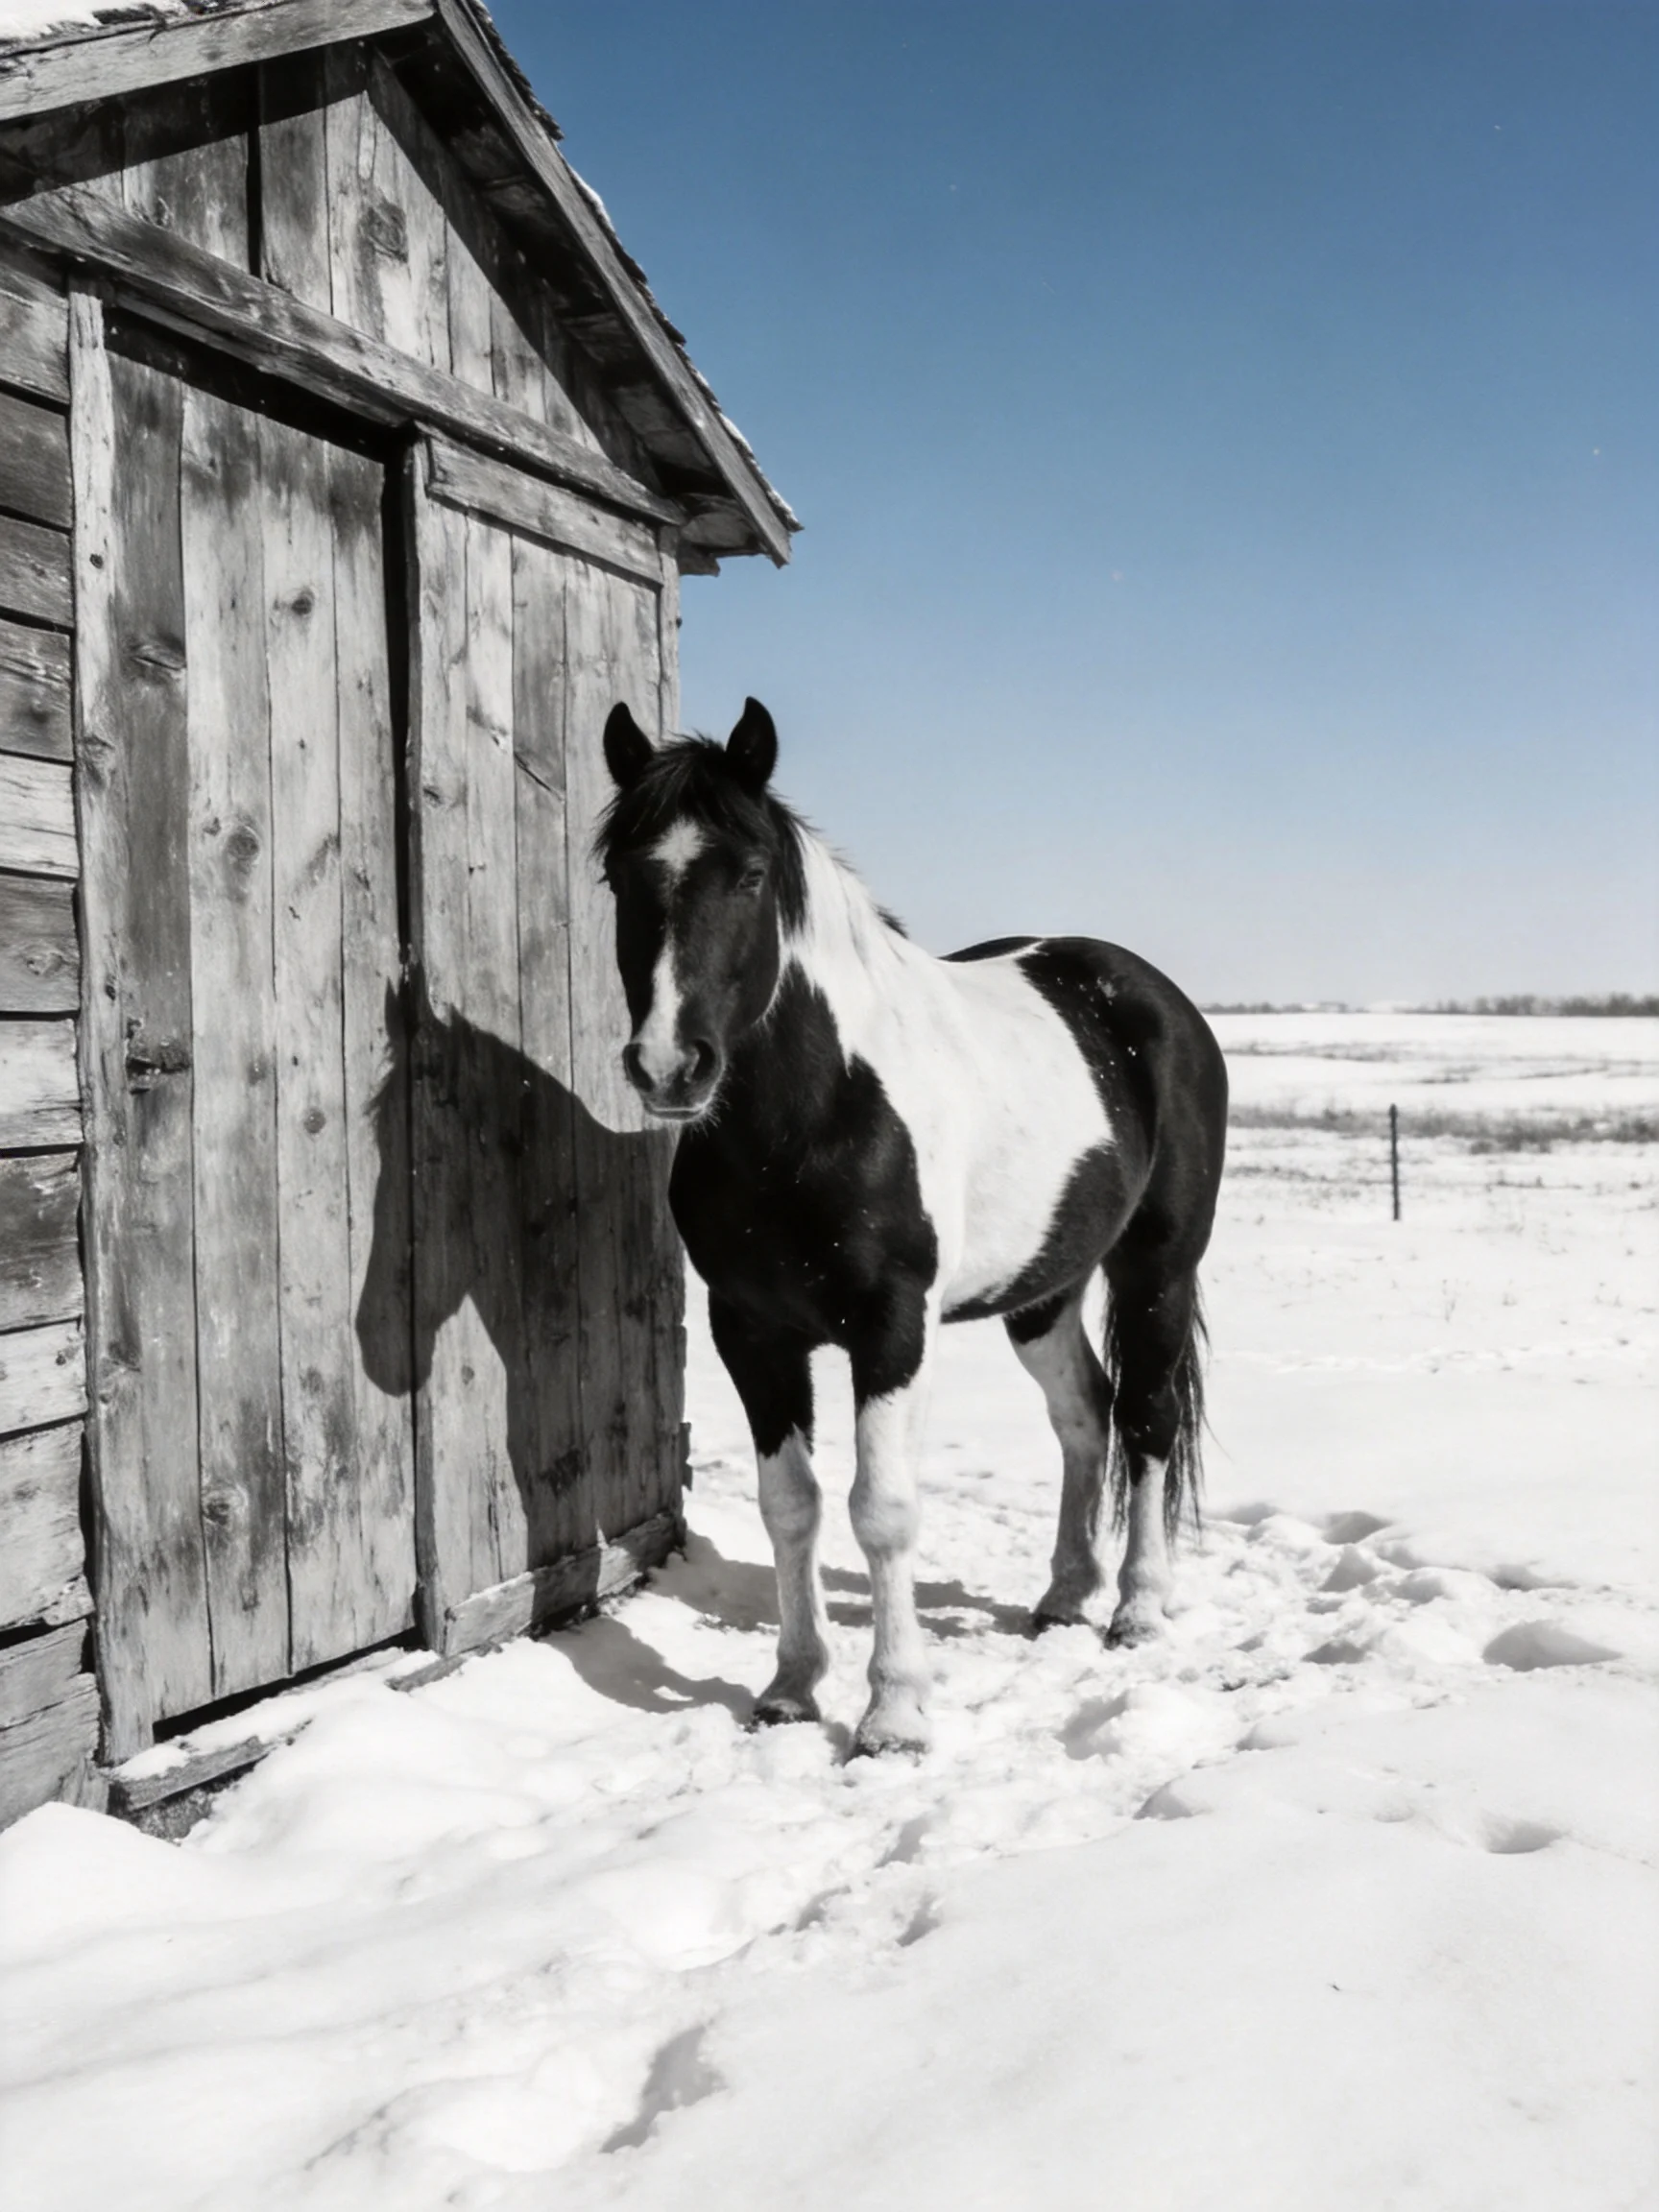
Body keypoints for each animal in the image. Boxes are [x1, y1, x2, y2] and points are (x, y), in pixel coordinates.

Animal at [598, 697, 1228, 1755]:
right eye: (618, 876)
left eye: (752, 874)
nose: (670, 1065)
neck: (813, 1117)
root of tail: (1152, 998)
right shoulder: (750, 1331)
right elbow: (790, 1506)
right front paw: (790, 1688)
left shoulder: (892, 1328)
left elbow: (880, 1510)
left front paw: (893, 1712)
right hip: (1042, 1292)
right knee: (1085, 1415)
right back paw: (1066, 1595)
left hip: (1157, 1273)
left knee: (1147, 1418)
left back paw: (1138, 1607)